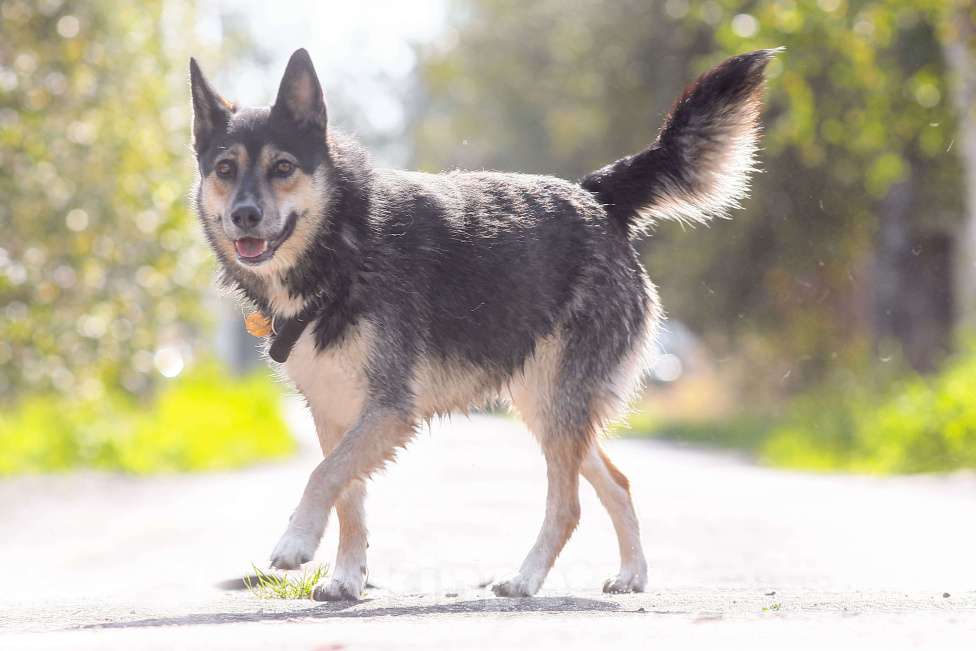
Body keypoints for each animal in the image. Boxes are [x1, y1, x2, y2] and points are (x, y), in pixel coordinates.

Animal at [187, 47, 772, 600]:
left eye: (283, 167)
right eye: (225, 169)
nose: (243, 215)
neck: (343, 242)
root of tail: (595, 197)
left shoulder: (388, 412)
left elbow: (322, 476)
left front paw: (296, 541)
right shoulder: (335, 413)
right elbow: (348, 497)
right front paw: (347, 579)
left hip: (556, 406)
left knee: (569, 506)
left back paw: (526, 580)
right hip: (548, 406)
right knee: (618, 482)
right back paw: (631, 574)